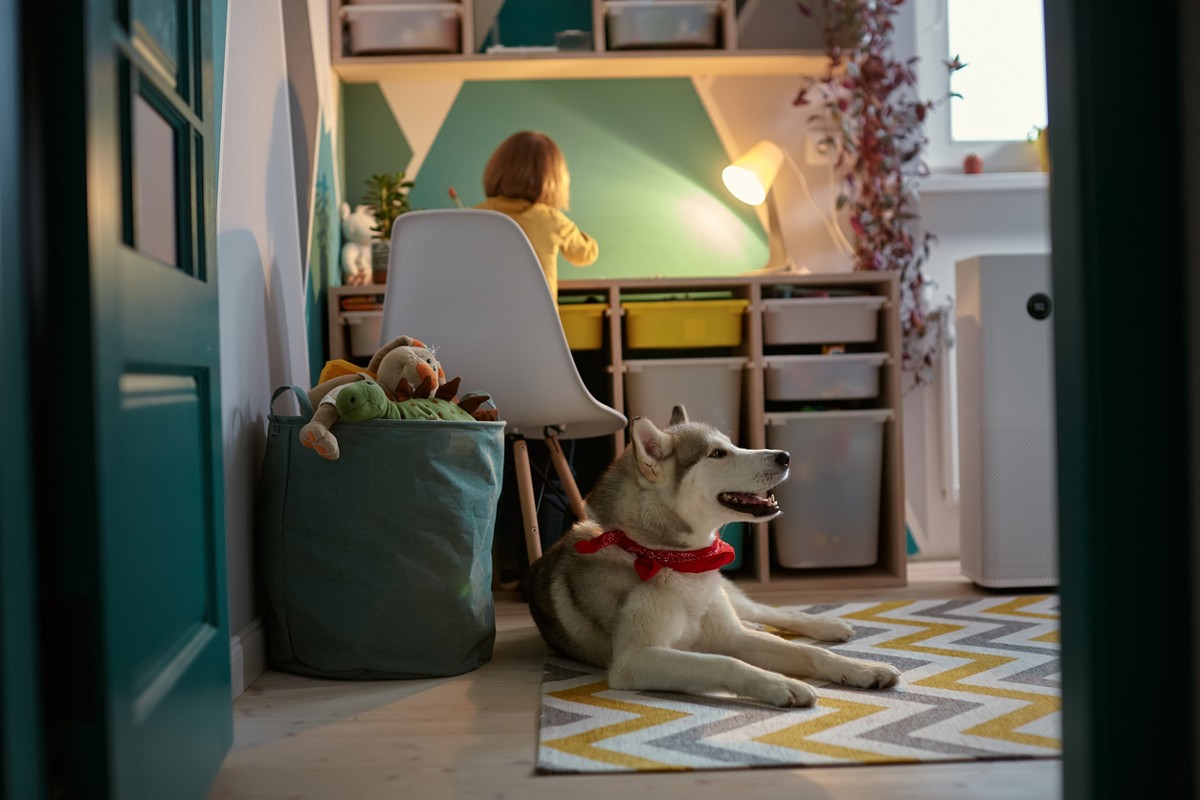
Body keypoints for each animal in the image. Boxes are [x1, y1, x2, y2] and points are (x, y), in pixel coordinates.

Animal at [528, 407, 902, 705]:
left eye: (733, 445)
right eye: (718, 454)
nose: (785, 456)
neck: (671, 558)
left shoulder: (732, 638)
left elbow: (806, 650)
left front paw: (859, 667)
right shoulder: (635, 660)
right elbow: (725, 662)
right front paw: (780, 684)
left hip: (731, 599)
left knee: (766, 612)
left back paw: (827, 625)